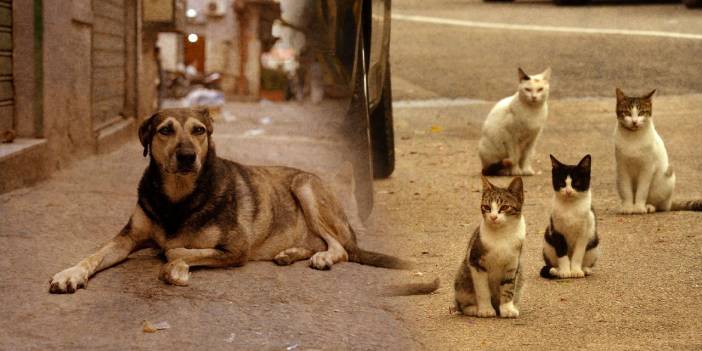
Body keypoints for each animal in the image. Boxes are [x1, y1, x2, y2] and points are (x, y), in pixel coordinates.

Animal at [48, 107, 440, 294]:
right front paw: (71, 273)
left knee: (341, 248)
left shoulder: (236, 250)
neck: (179, 195)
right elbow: (95, 255)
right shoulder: (128, 237)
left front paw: (176, 267)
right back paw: (290, 253)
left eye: (199, 131)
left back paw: (323, 257)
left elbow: (176, 251)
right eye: (165, 130)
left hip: (305, 186)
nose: (188, 156)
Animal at [456, 177, 528, 318]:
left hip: (520, 272)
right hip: (463, 277)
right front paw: (485, 309)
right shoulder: (476, 263)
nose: (493, 217)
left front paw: (507, 309)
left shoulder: (512, 265)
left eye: (505, 207)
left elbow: (508, 288)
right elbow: (483, 290)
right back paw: (473, 308)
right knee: (462, 305)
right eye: (487, 207)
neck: (502, 234)